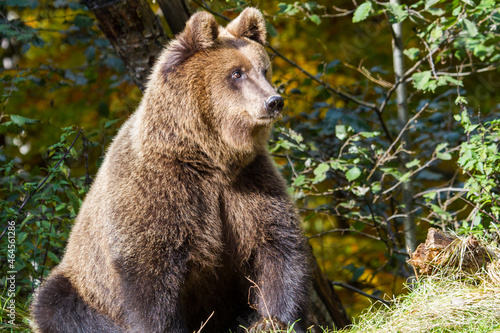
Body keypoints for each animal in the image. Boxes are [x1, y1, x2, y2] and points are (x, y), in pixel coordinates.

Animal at [30, 7, 308, 332]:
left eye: (264, 70)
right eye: (236, 73)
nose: (274, 101)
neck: (207, 156)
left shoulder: (247, 183)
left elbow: (275, 244)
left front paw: (269, 319)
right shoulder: (161, 188)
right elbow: (152, 270)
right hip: (81, 281)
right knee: (55, 303)